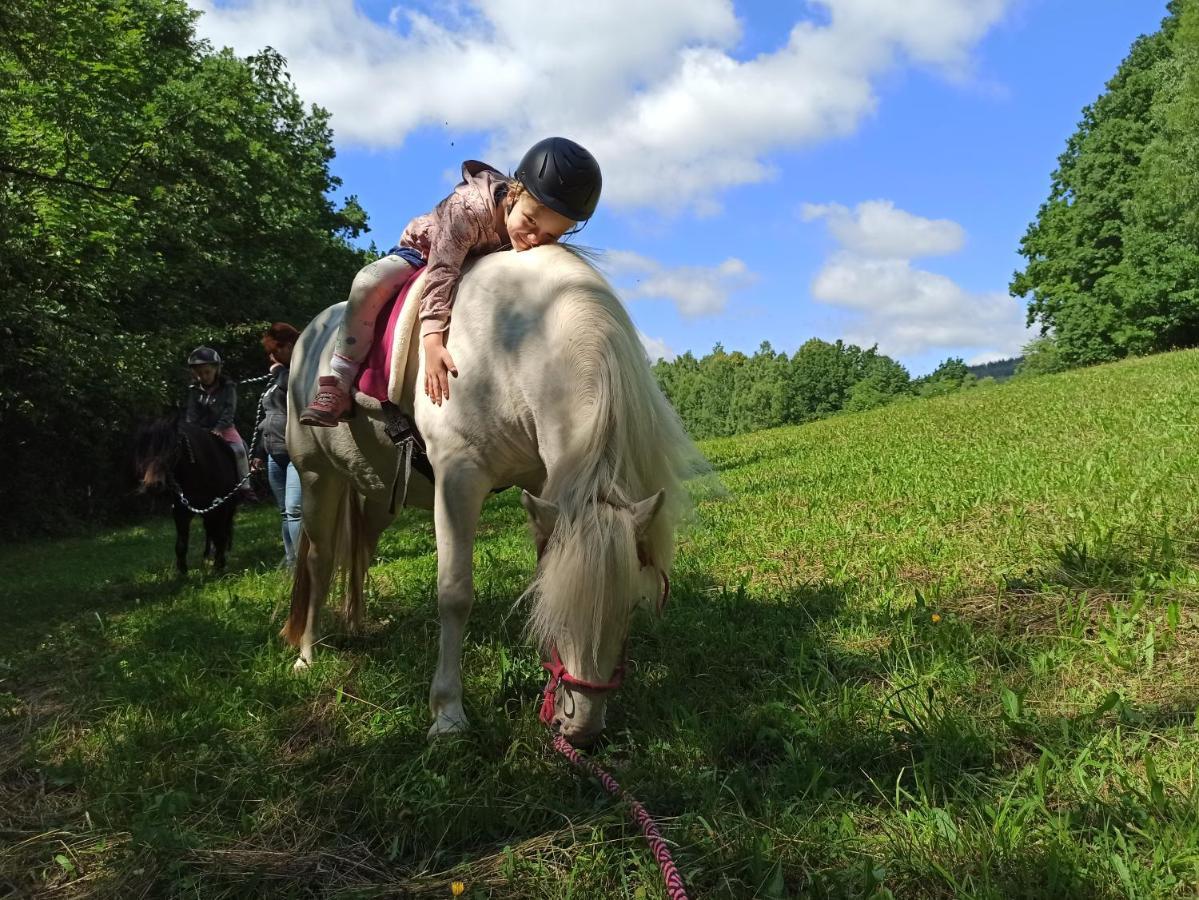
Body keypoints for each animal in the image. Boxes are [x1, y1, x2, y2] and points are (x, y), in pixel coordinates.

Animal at [134, 417, 239, 572]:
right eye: (144, 450)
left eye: (174, 448)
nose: (153, 485)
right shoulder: (181, 511)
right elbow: (181, 543)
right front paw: (182, 571)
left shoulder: (220, 508)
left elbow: (220, 536)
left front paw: (218, 566)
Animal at [281, 243, 700, 743]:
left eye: (634, 605)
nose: (581, 730)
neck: (515, 339)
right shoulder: (458, 479)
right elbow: (455, 593)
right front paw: (447, 715)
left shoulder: (543, 489)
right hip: (316, 476)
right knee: (318, 560)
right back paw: (307, 653)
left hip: (377, 492)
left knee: (360, 548)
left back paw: (356, 624)